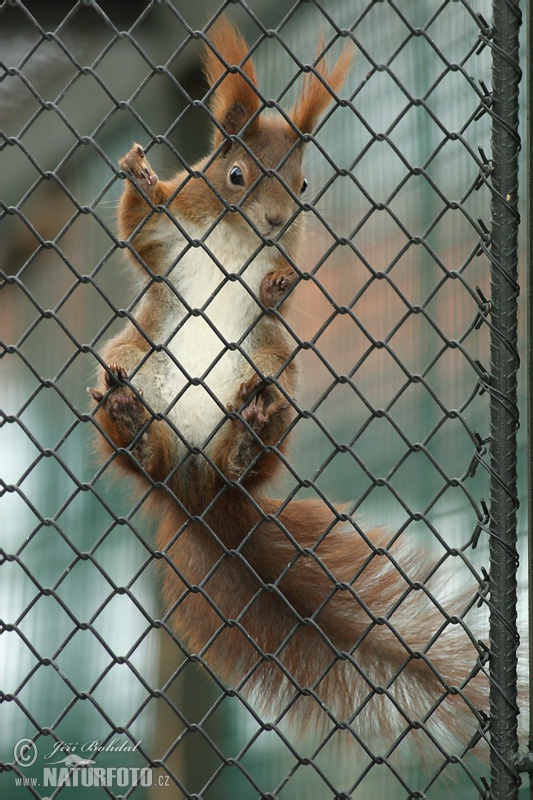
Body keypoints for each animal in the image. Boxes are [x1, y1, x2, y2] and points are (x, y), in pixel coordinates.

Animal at [88, 17, 490, 756]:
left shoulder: (284, 273)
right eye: (235, 174)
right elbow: (136, 225)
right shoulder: (171, 227)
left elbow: (283, 285)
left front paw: (276, 282)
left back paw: (250, 432)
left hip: (273, 361)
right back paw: (129, 417)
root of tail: (195, 490)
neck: (234, 236)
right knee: (136, 445)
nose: (276, 220)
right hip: (133, 352)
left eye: (303, 184)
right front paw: (139, 172)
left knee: (252, 435)